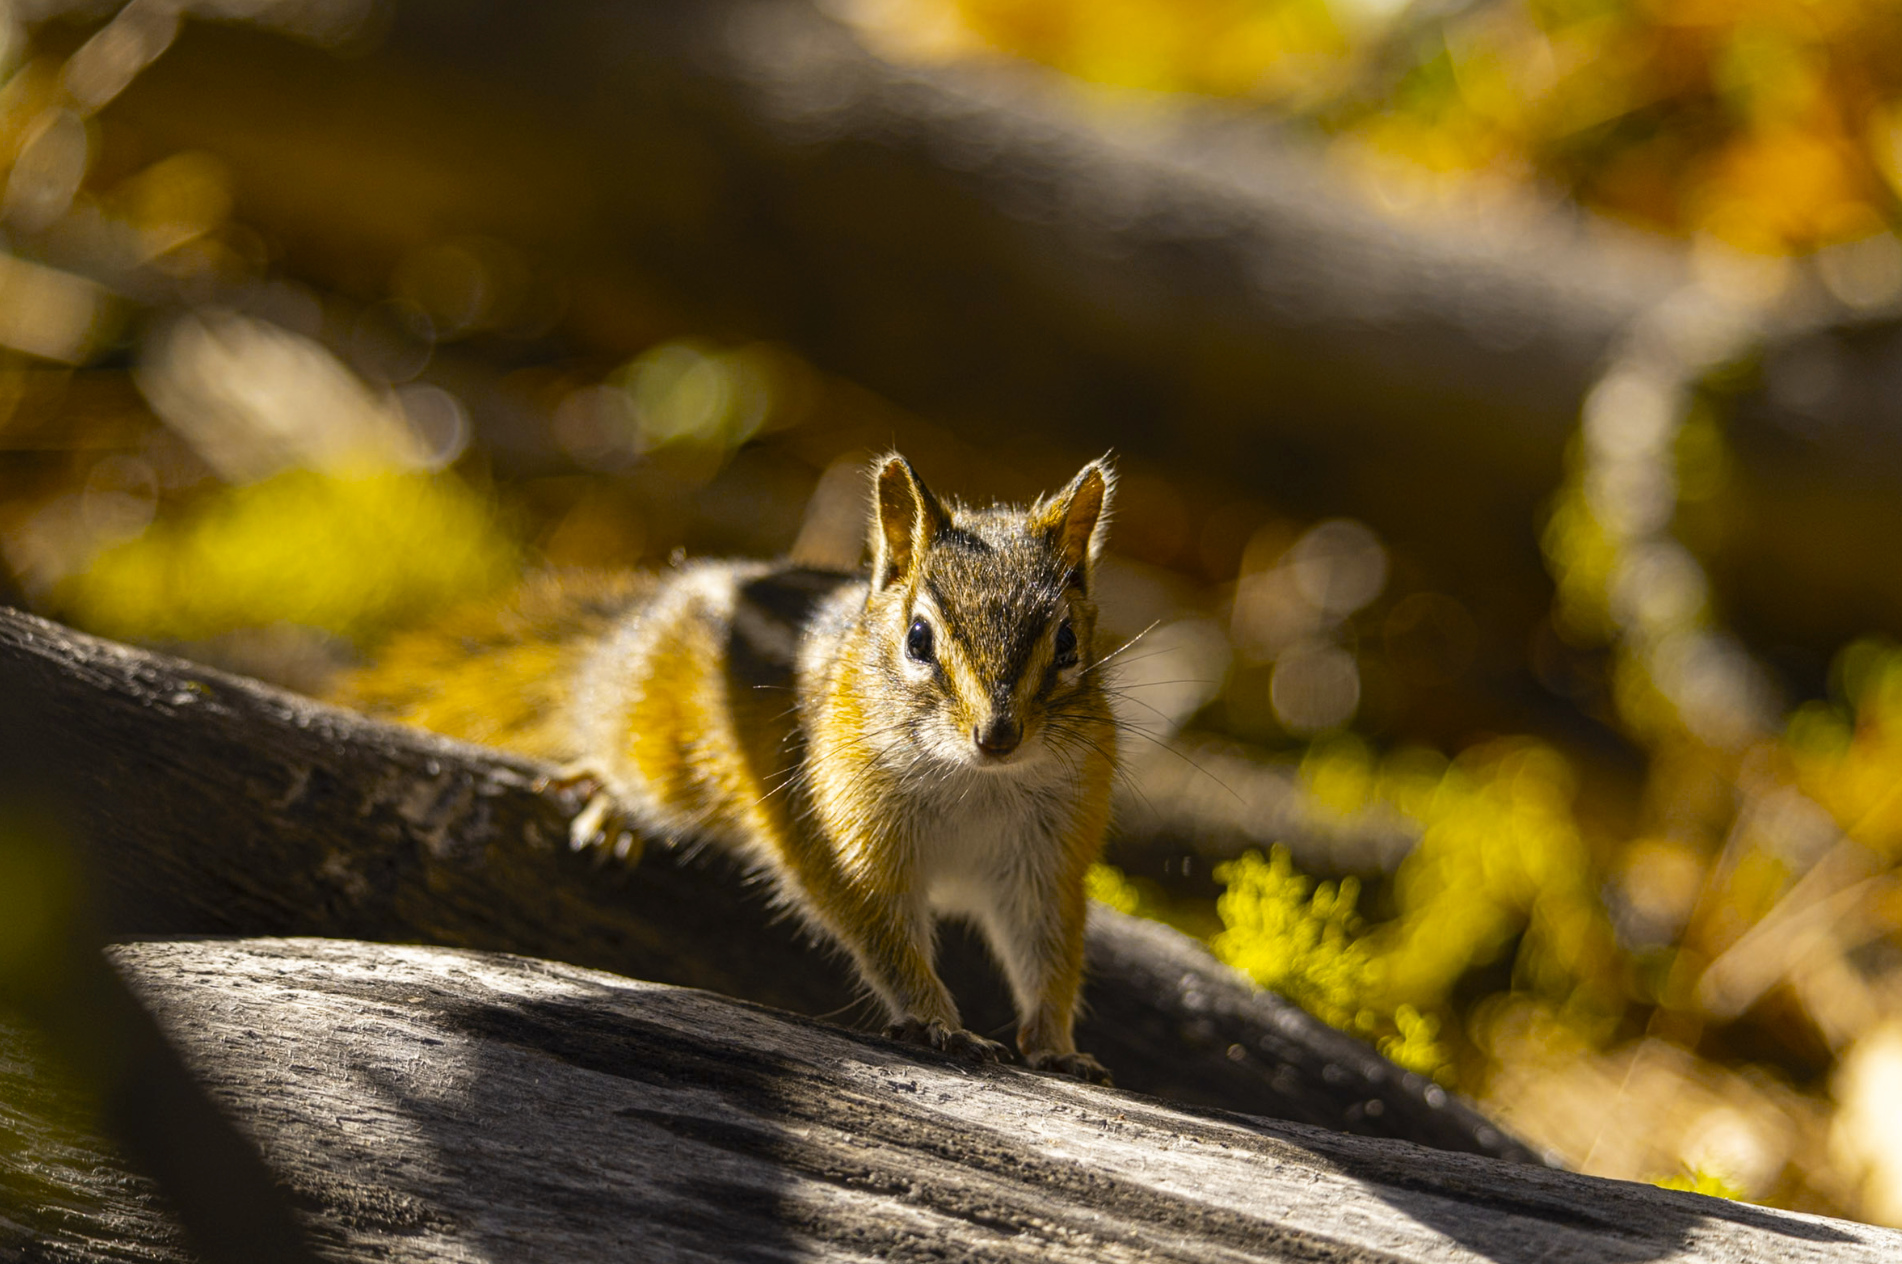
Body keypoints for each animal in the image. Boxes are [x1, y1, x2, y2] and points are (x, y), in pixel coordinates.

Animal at [334, 454, 1119, 1083]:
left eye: (1068, 642)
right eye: (919, 638)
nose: (998, 735)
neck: (975, 783)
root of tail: (630, 631)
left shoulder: (1045, 857)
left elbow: (1049, 947)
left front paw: (1056, 1044)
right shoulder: (840, 830)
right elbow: (878, 929)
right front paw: (936, 1020)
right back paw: (612, 798)